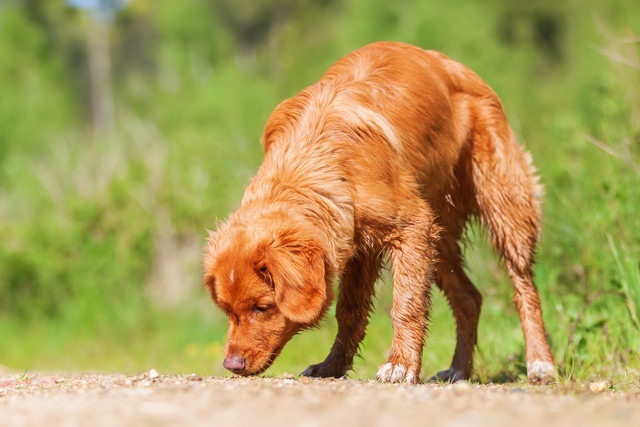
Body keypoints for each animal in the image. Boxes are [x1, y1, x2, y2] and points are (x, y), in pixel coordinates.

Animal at [205, 41, 556, 386]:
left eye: (262, 307)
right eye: (226, 310)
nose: (231, 365)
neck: (315, 161)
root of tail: (457, 66)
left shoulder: (412, 228)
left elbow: (406, 305)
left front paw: (400, 365)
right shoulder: (358, 245)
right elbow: (349, 312)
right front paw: (332, 366)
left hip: (502, 207)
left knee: (525, 288)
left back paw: (540, 363)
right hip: (438, 237)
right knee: (470, 298)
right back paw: (458, 370)